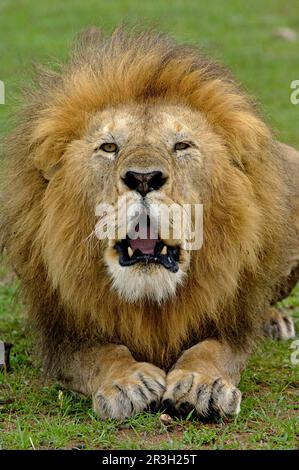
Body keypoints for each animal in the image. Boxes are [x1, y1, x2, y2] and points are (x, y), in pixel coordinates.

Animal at [0, 27, 299, 420]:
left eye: (182, 145)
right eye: (109, 147)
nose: (143, 178)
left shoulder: (230, 325)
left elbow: (212, 349)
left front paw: (202, 384)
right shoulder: (63, 334)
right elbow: (102, 354)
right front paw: (128, 382)